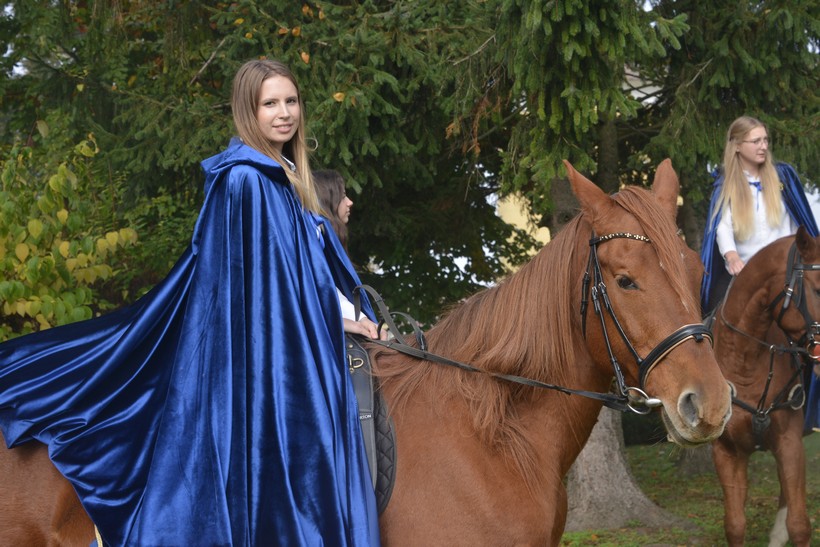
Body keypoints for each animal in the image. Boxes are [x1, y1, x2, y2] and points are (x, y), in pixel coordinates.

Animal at [708, 227, 820, 547]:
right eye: (818, 289)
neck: (746, 359)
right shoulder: (727, 451)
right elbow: (734, 525)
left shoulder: (790, 442)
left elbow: (799, 523)